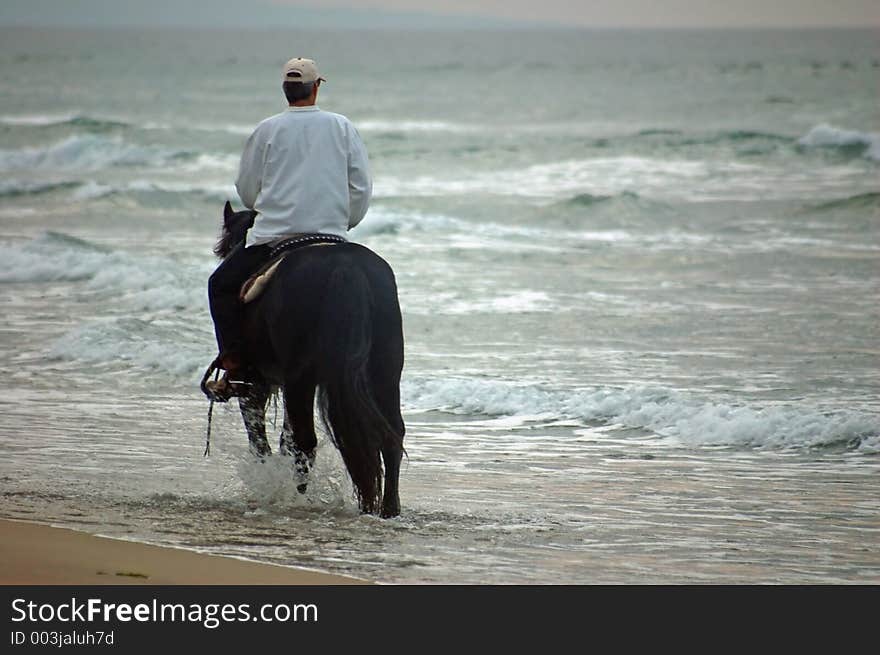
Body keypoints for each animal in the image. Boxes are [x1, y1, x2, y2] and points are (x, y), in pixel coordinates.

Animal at [213, 202, 406, 520]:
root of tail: (344, 266)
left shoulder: (258, 384)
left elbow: (260, 439)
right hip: (385, 372)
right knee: (392, 436)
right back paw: (389, 509)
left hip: (298, 377)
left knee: (306, 442)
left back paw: (295, 498)